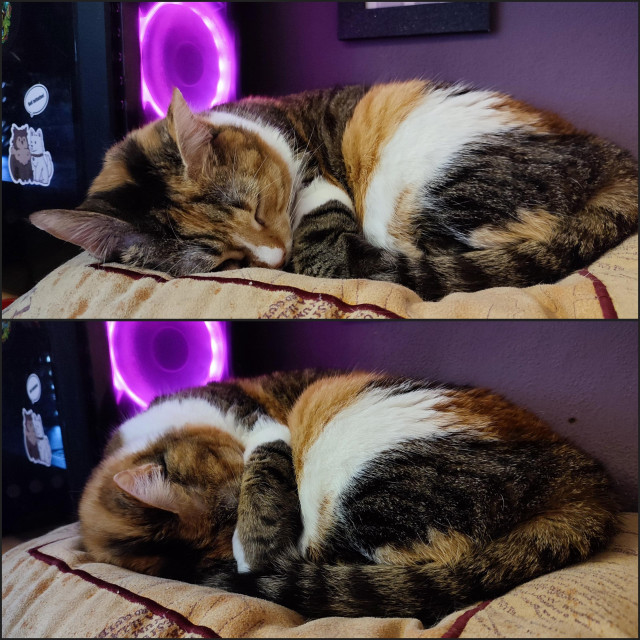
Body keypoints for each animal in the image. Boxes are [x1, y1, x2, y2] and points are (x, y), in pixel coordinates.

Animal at [77, 370, 616, 624]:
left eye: (232, 514)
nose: (235, 563)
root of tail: (578, 479)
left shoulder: (266, 428)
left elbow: (263, 473)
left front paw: (255, 546)